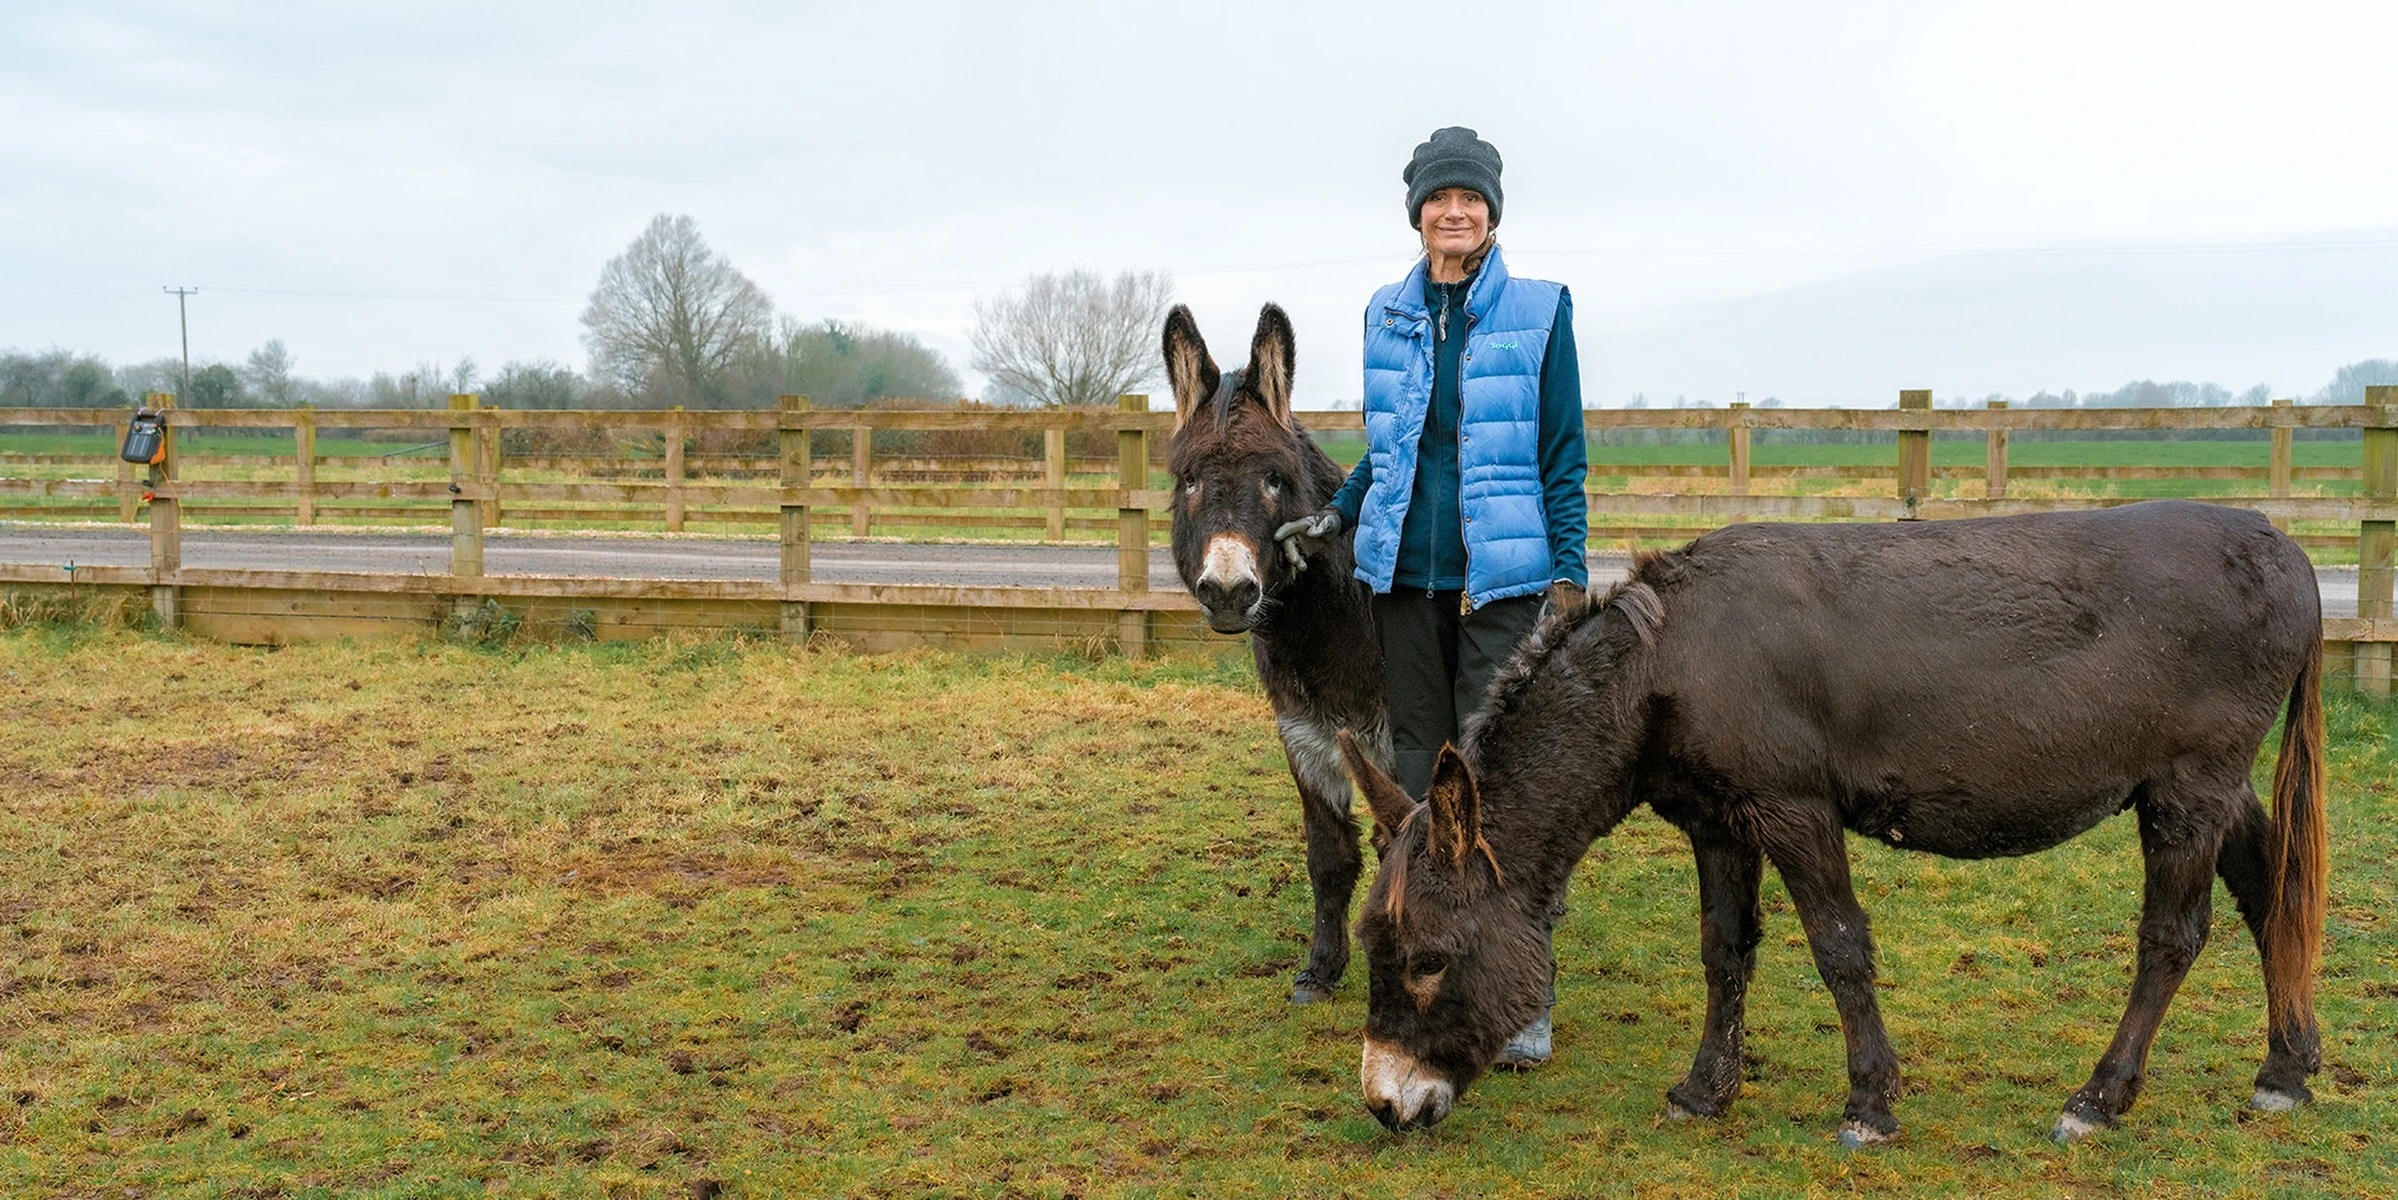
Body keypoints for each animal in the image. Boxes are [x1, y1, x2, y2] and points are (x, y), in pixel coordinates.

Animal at [1159, 302, 1389, 1004]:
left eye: (1273, 479)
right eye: (1189, 480)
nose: (1229, 592)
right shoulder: (1305, 736)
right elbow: (1330, 856)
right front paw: (1321, 971)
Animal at [1336, 501, 2327, 1146]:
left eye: (1428, 961)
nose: (1384, 1104)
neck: (1668, 658)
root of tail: (2288, 551)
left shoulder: (1794, 810)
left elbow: (1839, 947)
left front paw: (1870, 1107)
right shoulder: (1718, 822)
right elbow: (1723, 952)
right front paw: (1705, 1091)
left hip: (2186, 789)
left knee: (2172, 938)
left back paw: (2100, 1099)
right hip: (2209, 786)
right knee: (2271, 892)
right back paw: (2286, 1070)